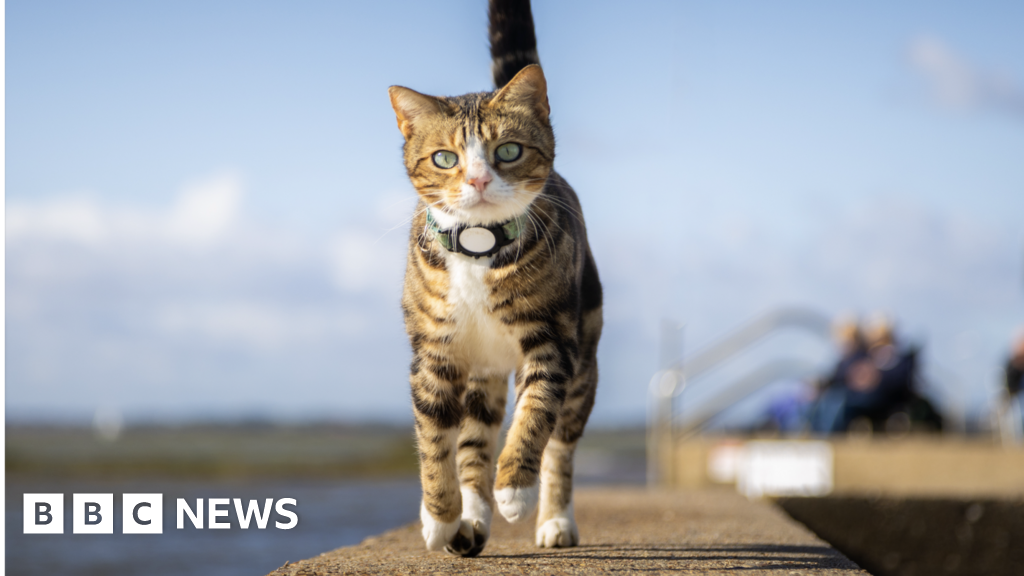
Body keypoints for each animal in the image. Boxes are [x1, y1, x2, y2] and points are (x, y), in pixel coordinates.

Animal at [389, 0, 598, 557]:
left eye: (507, 151)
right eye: (445, 158)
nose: (479, 179)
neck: (480, 249)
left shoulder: (552, 342)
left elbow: (534, 416)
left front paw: (515, 490)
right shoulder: (434, 352)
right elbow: (434, 440)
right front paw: (440, 517)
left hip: (586, 351)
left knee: (562, 441)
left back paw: (552, 519)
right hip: (480, 374)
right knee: (473, 439)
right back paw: (472, 518)